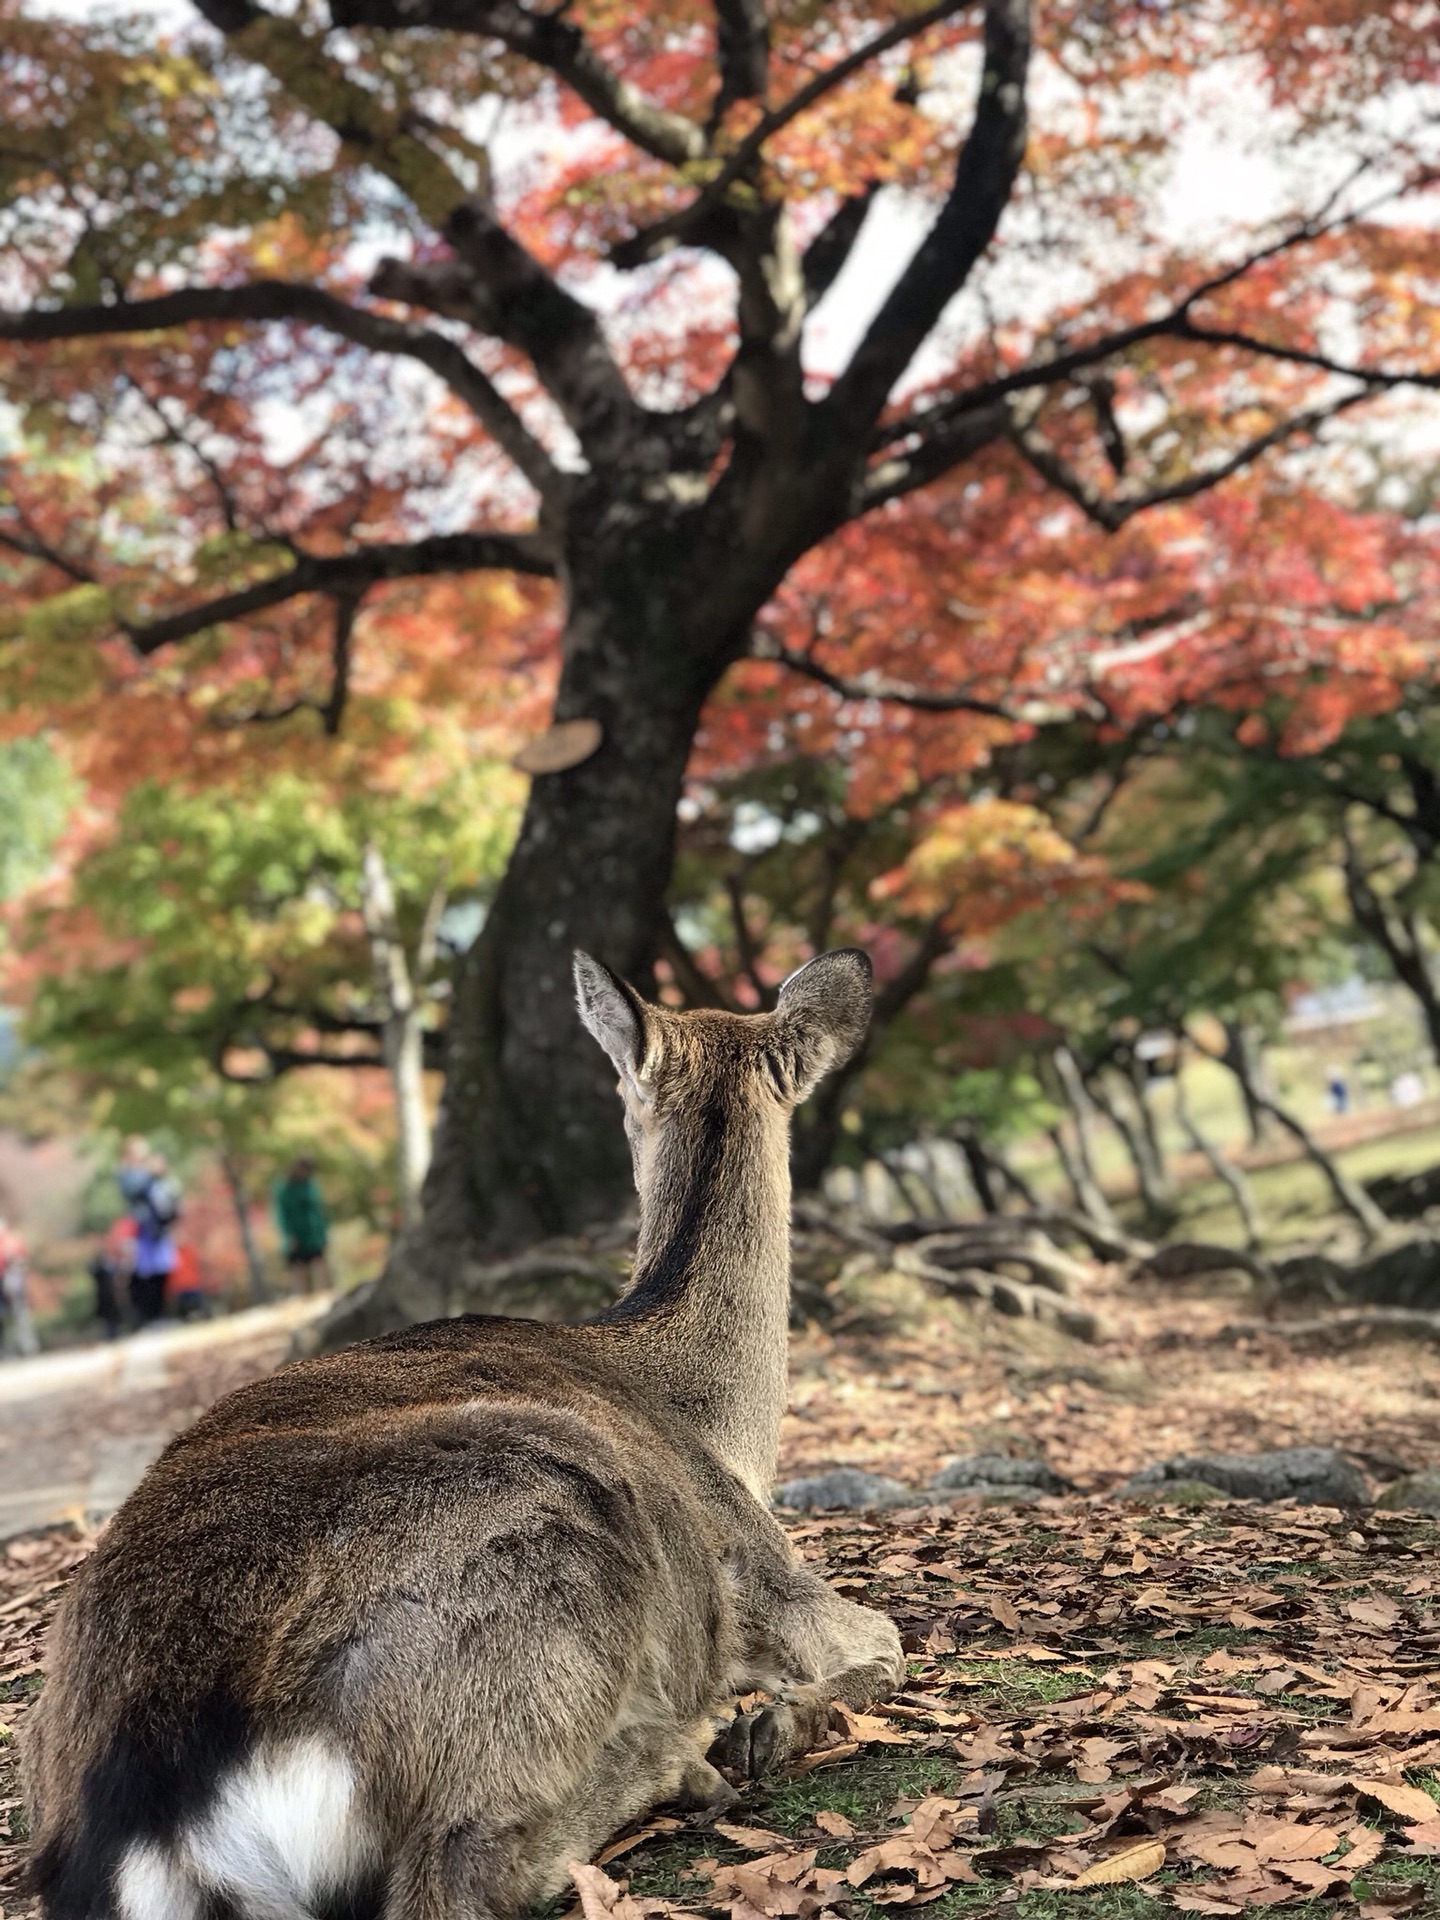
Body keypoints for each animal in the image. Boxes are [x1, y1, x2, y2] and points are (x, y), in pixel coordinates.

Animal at [25, 948, 902, 1920]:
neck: (726, 1433)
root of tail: (153, 1813)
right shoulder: (770, 1574)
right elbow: (885, 1645)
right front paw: (774, 1722)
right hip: (540, 1550)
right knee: (465, 1870)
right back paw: (686, 1754)